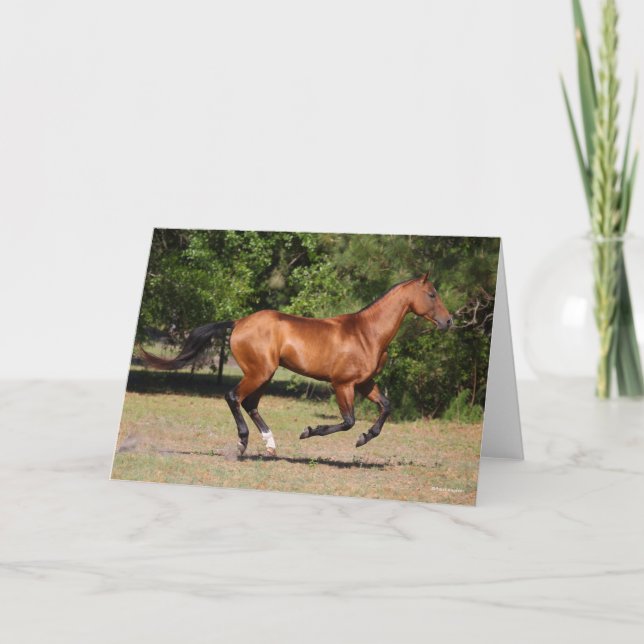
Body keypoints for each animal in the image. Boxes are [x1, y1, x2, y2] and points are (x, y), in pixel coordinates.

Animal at [140, 273, 452, 457]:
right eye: (432, 294)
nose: (449, 321)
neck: (367, 333)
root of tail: (239, 322)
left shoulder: (364, 383)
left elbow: (386, 406)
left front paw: (365, 438)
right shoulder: (343, 384)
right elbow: (348, 421)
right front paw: (309, 432)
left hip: (265, 374)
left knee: (250, 403)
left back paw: (270, 444)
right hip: (259, 373)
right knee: (233, 397)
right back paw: (243, 443)